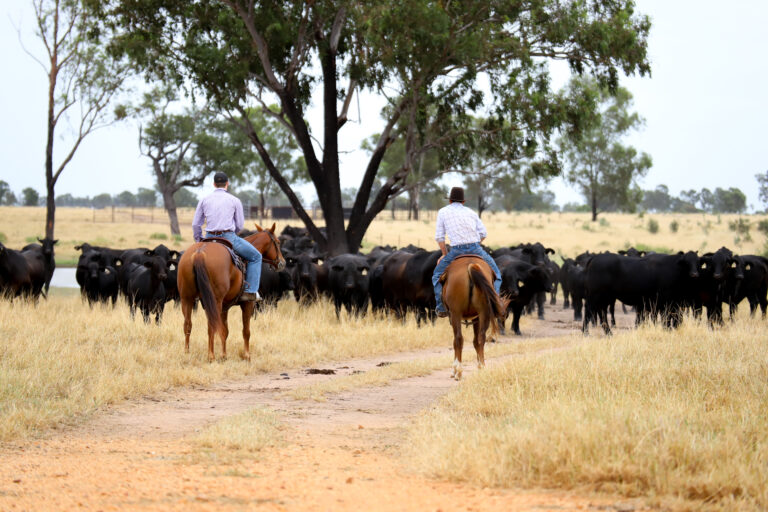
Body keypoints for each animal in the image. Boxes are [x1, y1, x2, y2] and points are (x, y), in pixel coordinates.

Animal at [177, 223, 284, 360]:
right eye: (278, 242)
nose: (282, 262)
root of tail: (200, 253)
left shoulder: (224, 306)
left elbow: (224, 330)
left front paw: (224, 355)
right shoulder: (247, 304)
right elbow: (246, 331)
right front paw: (247, 355)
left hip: (187, 298)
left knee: (188, 324)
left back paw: (187, 352)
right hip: (214, 301)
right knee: (211, 325)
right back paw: (211, 356)